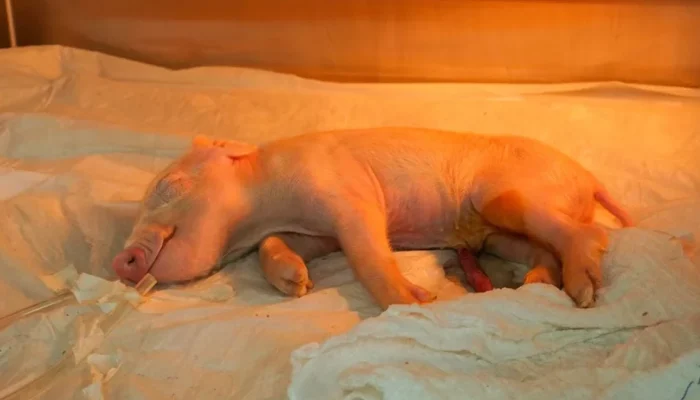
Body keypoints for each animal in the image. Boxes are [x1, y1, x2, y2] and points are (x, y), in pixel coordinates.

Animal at [112, 128, 633, 310]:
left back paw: (583, 292)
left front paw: (417, 301)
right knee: (541, 250)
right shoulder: (313, 231)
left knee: (590, 233)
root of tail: (589, 179)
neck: (266, 204)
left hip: (502, 196)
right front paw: (296, 285)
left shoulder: (347, 193)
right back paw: (535, 283)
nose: (119, 262)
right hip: (497, 235)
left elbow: (367, 251)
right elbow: (277, 247)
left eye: (168, 186)